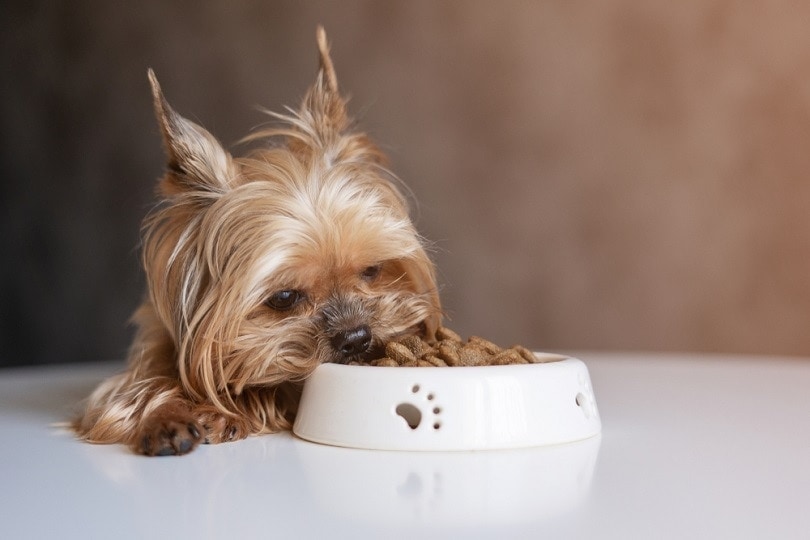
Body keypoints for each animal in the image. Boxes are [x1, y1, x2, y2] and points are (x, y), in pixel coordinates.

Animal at [74, 26, 442, 456]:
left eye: (372, 270)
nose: (356, 337)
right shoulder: (143, 358)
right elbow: (131, 394)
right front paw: (167, 418)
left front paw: (223, 411)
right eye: (283, 298)